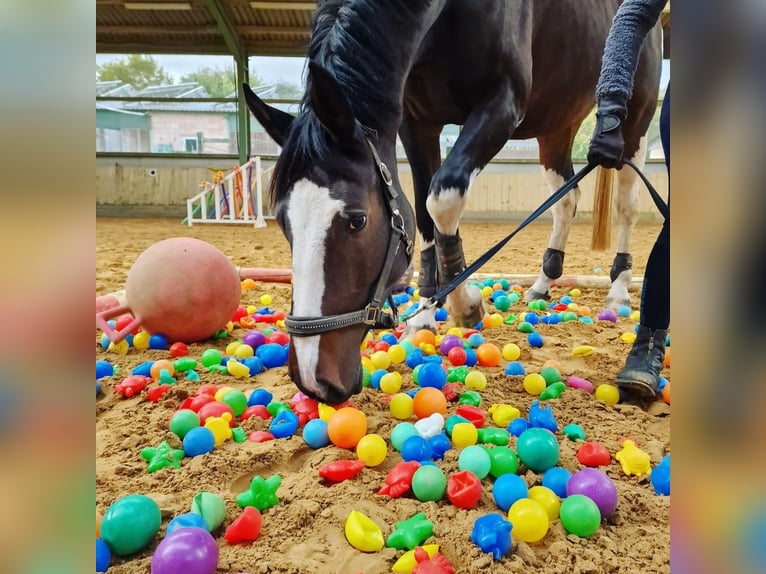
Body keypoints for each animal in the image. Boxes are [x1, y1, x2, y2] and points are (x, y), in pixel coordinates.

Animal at [248, 0, 664, 404]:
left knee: (626, 205)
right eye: (283, 220)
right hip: (556, 125)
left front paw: (466, 305)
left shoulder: (502, 104)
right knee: (567, 198)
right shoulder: (416, 122)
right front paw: (425, 315)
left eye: (357, 219)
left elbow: (443, 199)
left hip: (635, 121)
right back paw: (543, 283)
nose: (313, 380)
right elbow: (423, 213)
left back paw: (618, 289)